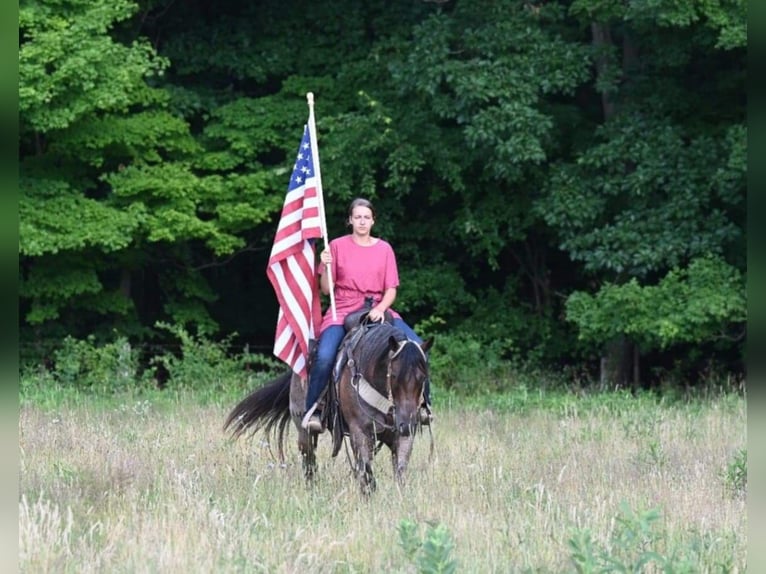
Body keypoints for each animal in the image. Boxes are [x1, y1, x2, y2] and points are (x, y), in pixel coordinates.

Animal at [225, 318, 436, 498]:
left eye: (423, 377)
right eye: (394, 376)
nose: (406, 424)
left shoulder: (402, 436)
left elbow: (400, 473)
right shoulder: (360, 432)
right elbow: (367, 475)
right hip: (304, 432)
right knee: (309, 464)